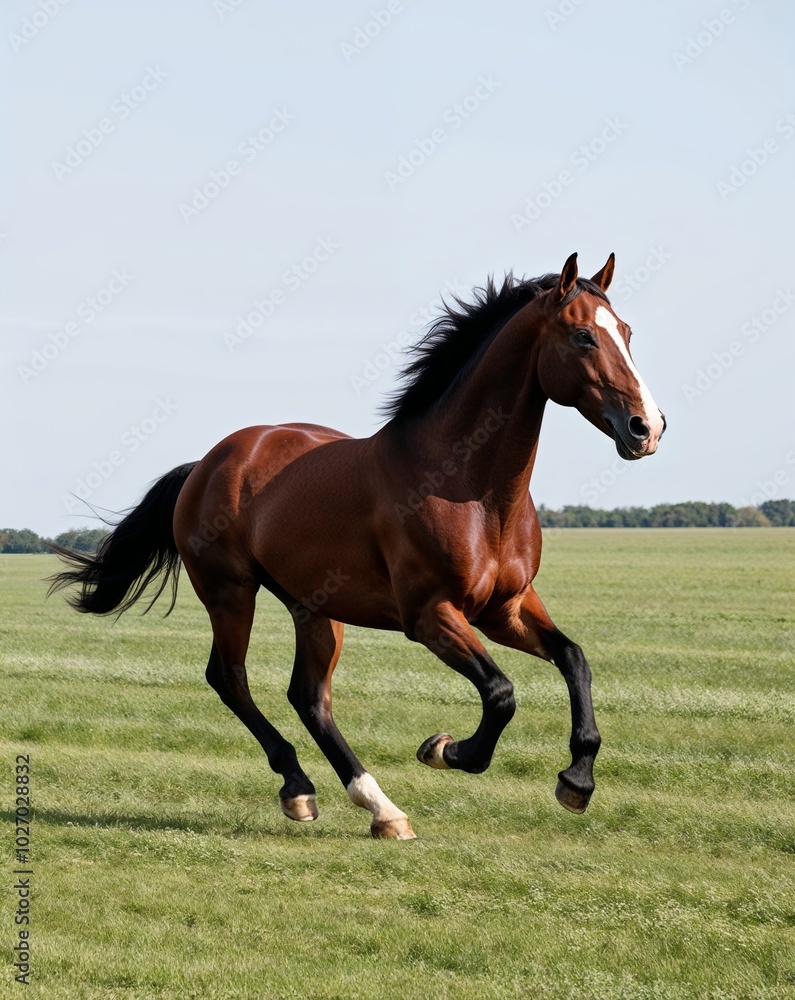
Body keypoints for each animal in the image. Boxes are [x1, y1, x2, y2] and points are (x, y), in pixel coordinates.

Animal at [49, 252, 666, 840]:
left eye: (628, 331)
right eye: (583, 336)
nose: (647, 427)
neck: (468, 489)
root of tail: (206, 463)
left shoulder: (505, 609)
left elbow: (574, 659)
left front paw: (577, 782)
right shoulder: (431, 615)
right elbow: (500, 693)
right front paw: (445, 750)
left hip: (314, 608)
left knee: (308, 697)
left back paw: (378, 808)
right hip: (231, 593)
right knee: (230, 678)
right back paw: (302, 788)